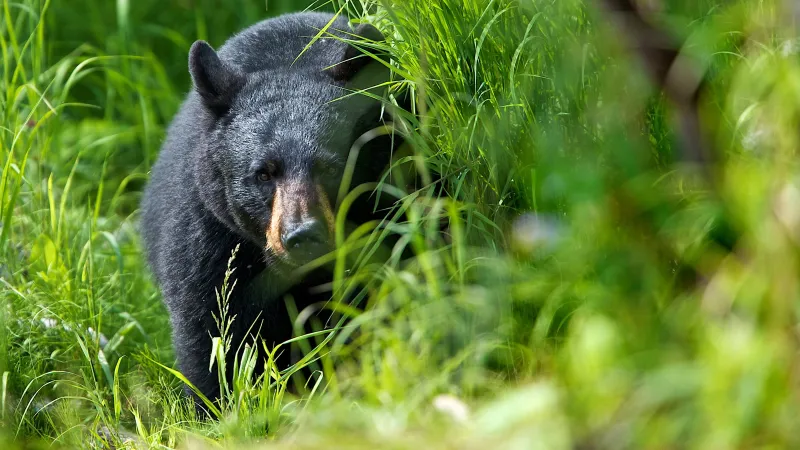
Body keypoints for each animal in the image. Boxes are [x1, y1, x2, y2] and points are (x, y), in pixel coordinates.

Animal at [140, 11, 399, 408]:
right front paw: (216, 407)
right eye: (263, 173)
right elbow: (210, 331)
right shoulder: (211, 238)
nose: (302, 235)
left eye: (331, 167)